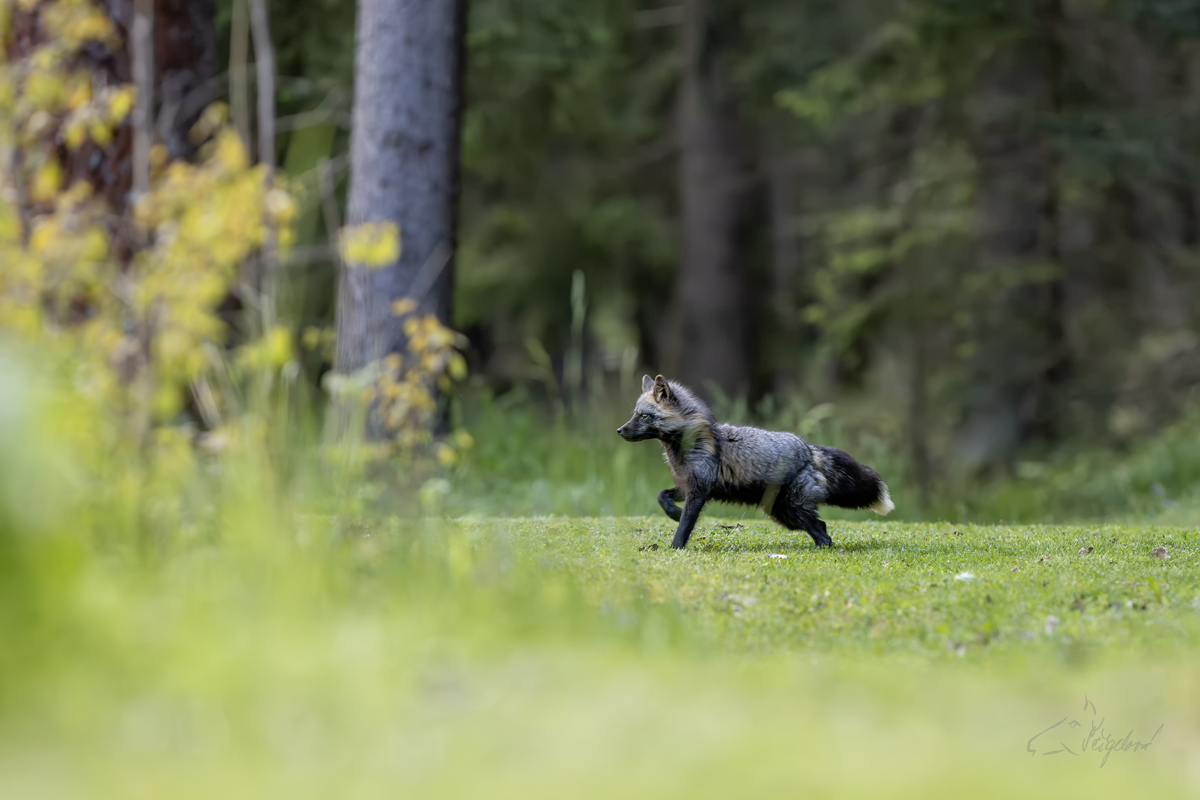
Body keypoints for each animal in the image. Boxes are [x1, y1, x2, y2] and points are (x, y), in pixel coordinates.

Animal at [619, 376, 892, 551]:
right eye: (634, 414)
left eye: (644, 416)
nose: (619, 430)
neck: (690, 441)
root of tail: (808, 448)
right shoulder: (690, 485)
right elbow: (661, 496)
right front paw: (672, 513)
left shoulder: (699, 490)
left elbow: (685, 527)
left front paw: (675, 548)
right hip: (785, 514)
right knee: (823, 528)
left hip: (792, 510)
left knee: (824, 534)